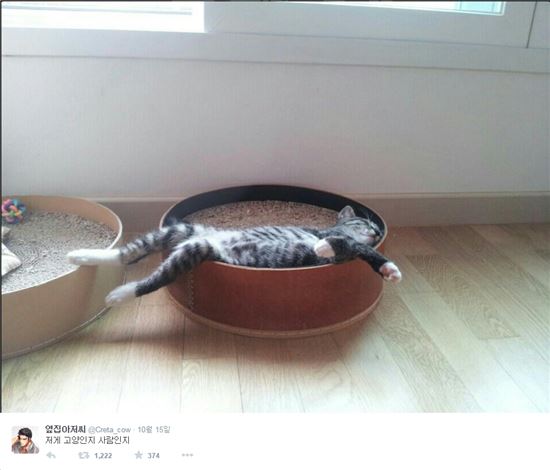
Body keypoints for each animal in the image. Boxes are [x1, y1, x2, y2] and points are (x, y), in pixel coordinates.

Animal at [67, 205, 401, 306]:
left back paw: (84, 261)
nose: (377, 232)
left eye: (376, 226)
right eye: (365, 223)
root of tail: (204, 237)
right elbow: (353, 246)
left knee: (135, 263)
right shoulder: (336, 240)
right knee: (141, 268)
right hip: (187, 233)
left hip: (191, 245)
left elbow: (356, 249)